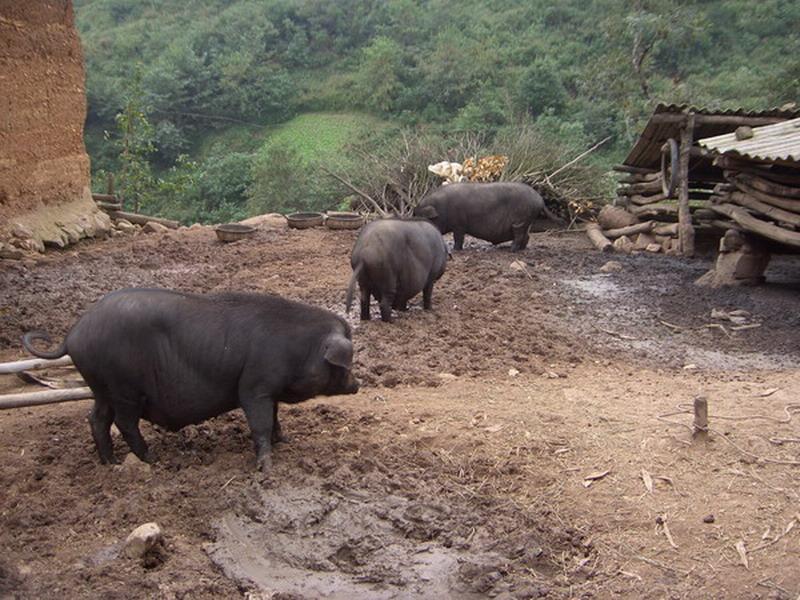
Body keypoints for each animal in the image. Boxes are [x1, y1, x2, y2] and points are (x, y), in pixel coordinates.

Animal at [21, 288, 360, 472]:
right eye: (347, 363)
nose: (357, 385)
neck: (300, 349)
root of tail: (73, 334)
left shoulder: (270, 390)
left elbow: (275, 419)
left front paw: (285, 441)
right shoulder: (255, 387)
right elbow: (261, 423)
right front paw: (266, 467)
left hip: (101, 387)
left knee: (97, 419)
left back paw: (111, 463)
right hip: (124, 388)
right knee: (124, 422)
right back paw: (151, 460)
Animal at [416, 180, 552, 251]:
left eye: (420, 217)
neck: (441, 207)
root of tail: (540, 199)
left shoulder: (459, 224)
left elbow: (458, 237)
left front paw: (455, 250)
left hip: (520, 220)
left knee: (519, 235)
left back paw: (512, 249)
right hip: (526, 221)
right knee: (527, 236)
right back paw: (520, 249)